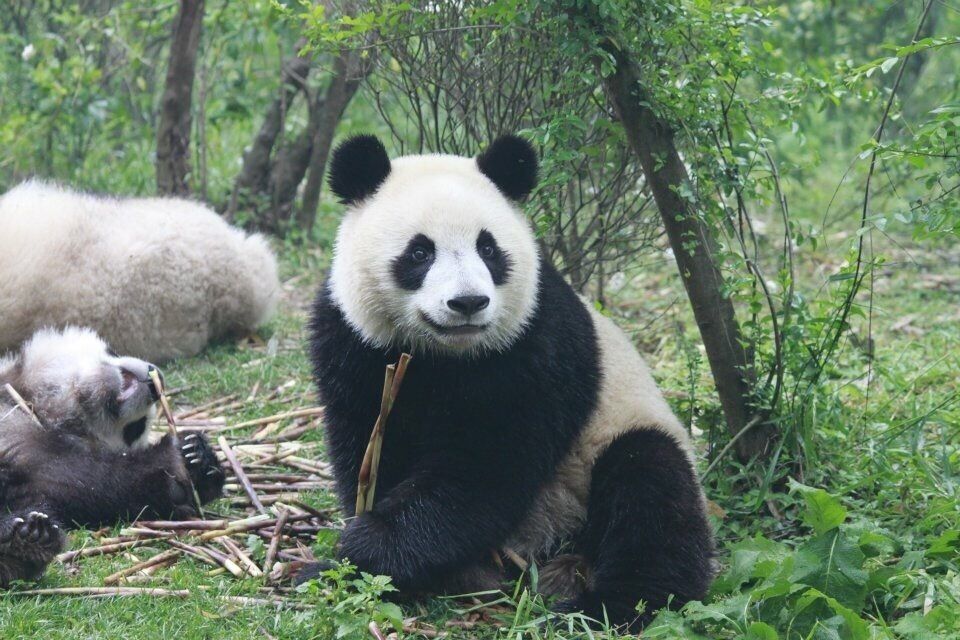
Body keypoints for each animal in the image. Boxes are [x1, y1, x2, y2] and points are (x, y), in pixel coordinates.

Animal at [0, 327, 225, 587]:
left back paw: (29, 540)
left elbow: (83, 484)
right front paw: (182, 458)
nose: (156, 379)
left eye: (135, 428)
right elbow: (79, 473)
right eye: (112, 351)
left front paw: (197, 462)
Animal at [306, 134, 714, 630]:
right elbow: (368, 443)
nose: (467, 302)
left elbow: (484, 468)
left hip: (606, 454)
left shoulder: (537, 345)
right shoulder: (354, 342)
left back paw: (604, 605)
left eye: (489, 249)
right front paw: (355, 562)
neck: (445, 354)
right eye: (420, 252)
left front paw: (367, 546)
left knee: (652, 490)